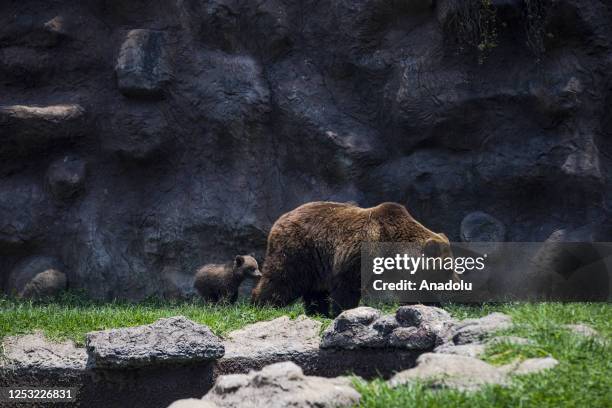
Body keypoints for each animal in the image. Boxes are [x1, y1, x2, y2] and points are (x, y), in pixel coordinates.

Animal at [251, 201, 452, 316]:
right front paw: (344, 311)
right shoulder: (360, 254)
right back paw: (261, 305)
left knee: (314, 291)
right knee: (281, 281)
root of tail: (281, 218)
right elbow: (347, 286)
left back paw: (317, 312)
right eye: (449, 270)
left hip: (316, 264)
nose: (454, 286)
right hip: (299, 251)